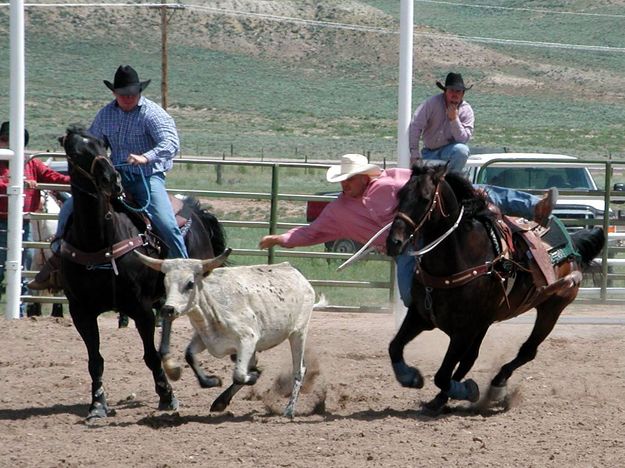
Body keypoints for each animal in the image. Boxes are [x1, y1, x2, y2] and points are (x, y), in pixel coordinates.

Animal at [59, 125, 227, 420]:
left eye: (104, 146)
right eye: (75, 152)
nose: (111, 179)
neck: (99, 241)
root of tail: (197, 211)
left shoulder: (140, 308)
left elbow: (150, 355)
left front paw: (167, 397)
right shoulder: (80, 311)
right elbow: (95, 360)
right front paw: (97, 405)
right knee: (168, 317)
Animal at [386, 164, 604, 414]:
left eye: (424, 198)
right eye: (400, 195)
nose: (394, 242)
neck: (459, 259)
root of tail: (572, 245)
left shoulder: (464, 330)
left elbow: (442, 374)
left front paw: (468, 390)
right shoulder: (420, 316)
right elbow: (395, 347)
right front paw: (411, 377)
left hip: (552, 309)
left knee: (527, 351)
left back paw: (495, 386)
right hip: (486, 322)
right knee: (470, 359)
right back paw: (443, 399)